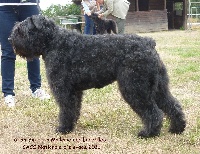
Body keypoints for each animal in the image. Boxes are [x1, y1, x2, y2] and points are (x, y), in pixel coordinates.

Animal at [8, 15, 185, 138]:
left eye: (21, 30)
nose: (10, 39)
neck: (53, 42)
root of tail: (149, 43)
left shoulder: (63, 89)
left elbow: (65, 109)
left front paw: (63, 129)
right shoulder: (75, 91)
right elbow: (74, 109)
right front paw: (71, 126)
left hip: (135, 87)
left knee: (154, 112)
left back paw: (148, 133)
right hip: (158, 87)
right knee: (172, 105)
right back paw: (177, 128)